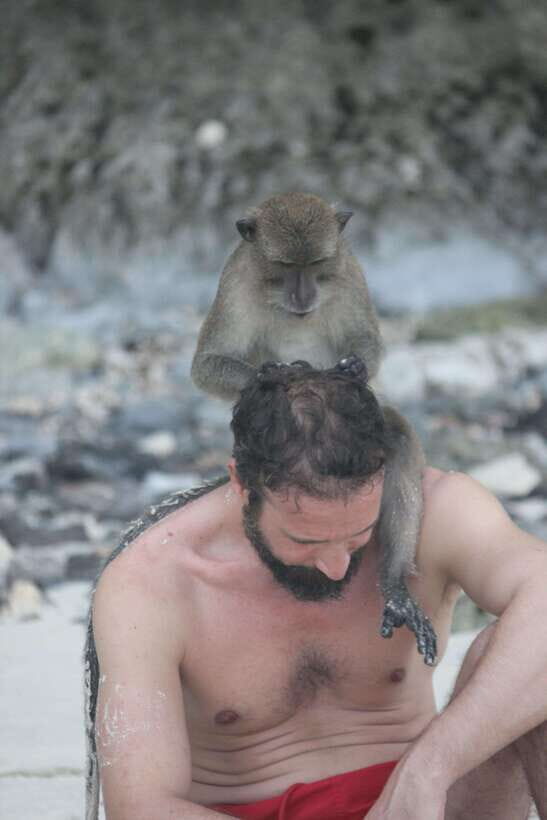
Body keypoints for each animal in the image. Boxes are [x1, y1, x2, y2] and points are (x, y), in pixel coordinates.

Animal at [191, 192, 437, 666]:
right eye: (286, 267)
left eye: (316, 264)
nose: (303, 294)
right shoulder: (236, 281)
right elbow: (206, 367)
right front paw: (274, 373)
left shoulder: (348, 270)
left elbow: (369, 344)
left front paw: (354, 367)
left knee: (394, 432)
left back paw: (394, 584)